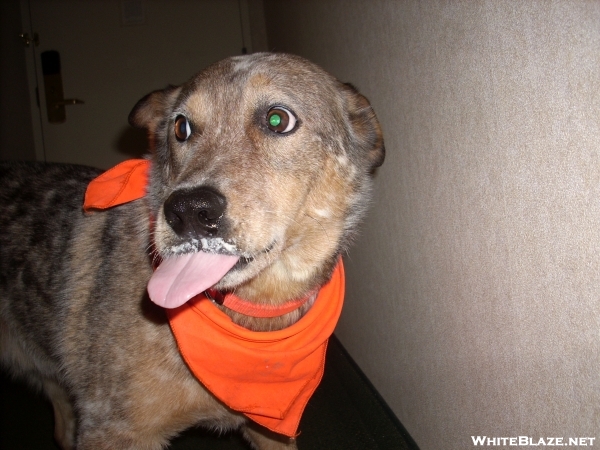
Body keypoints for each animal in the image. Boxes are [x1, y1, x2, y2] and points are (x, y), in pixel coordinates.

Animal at [0, 53, 384, 450]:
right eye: (181, 127)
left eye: (279, 119)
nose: (187, 210)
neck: (247, 318)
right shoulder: (112, 430)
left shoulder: (271, 432)